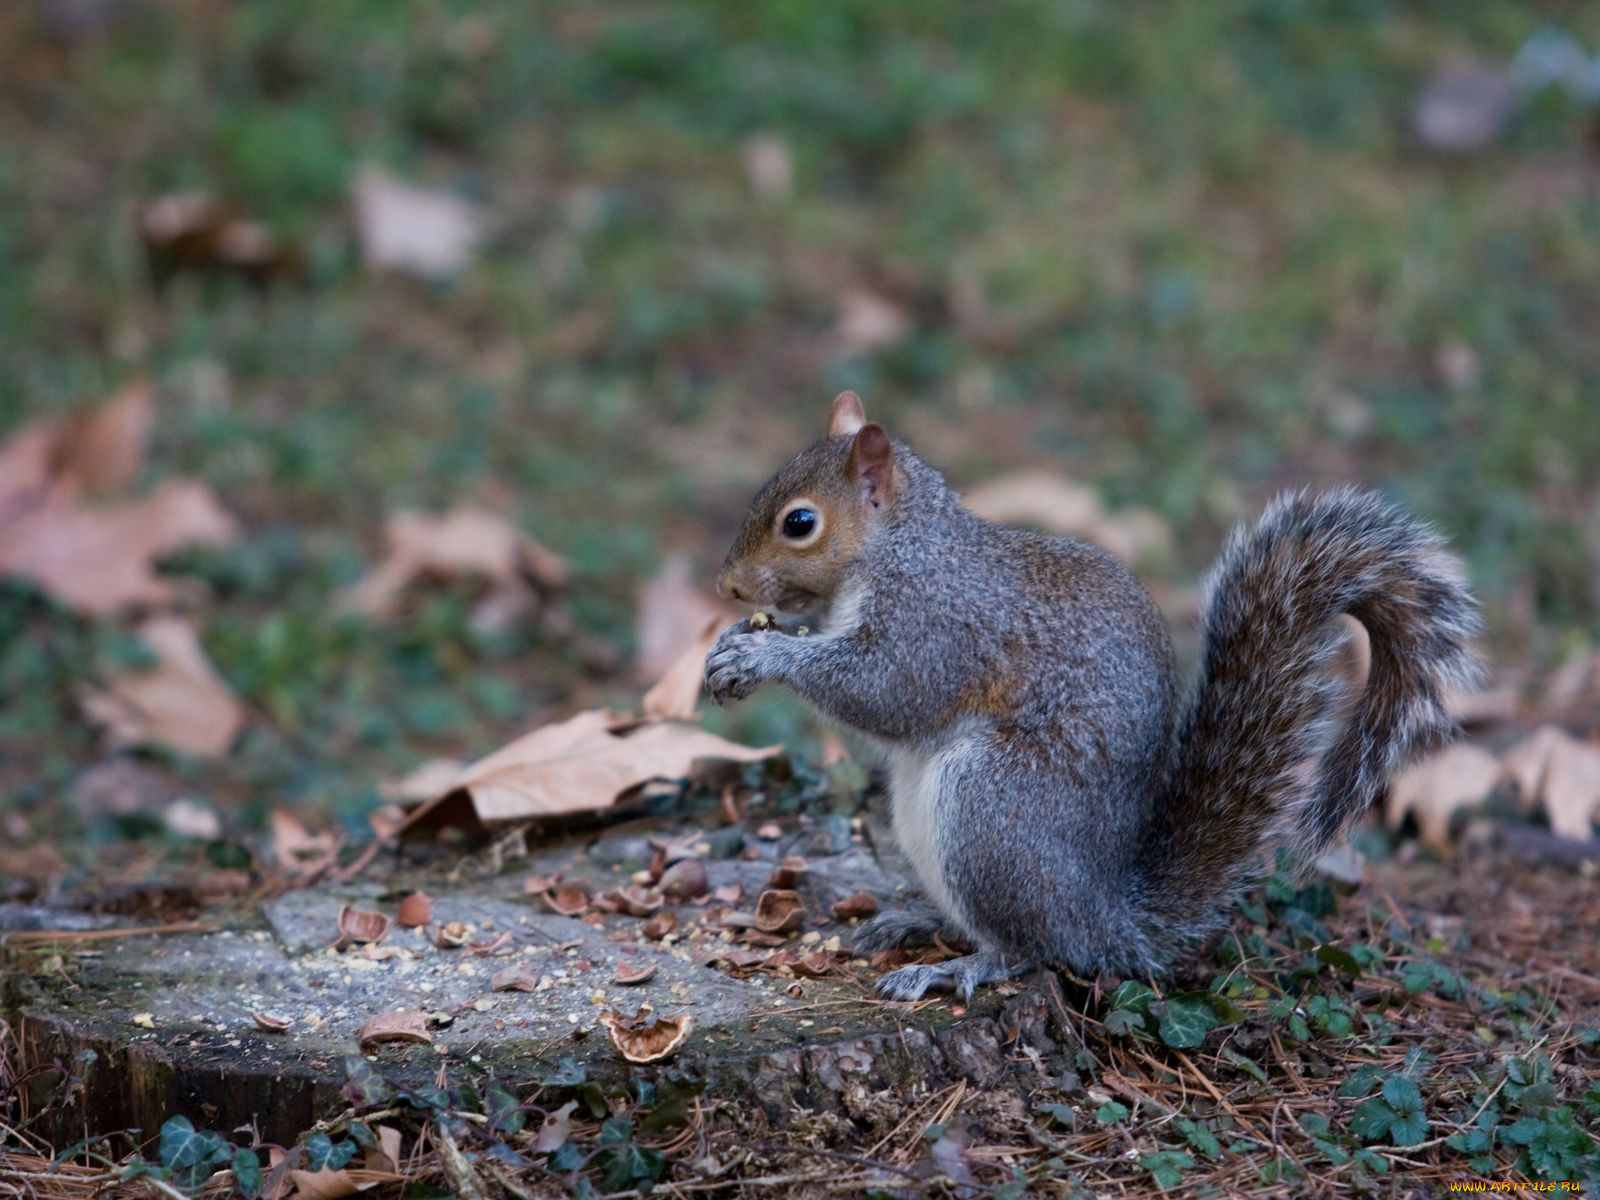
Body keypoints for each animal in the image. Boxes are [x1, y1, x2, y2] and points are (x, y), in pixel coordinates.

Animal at [707, 395, 1478, 1004]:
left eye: (800, 523)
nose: (729, 588)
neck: (898, 548)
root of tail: (1106, 914)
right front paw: (736, 643)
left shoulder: (936, 621)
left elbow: (890, 692)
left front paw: (766, 655)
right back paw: (918, 922)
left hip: (992, 809)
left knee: (1035, 949)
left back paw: (959, 967)